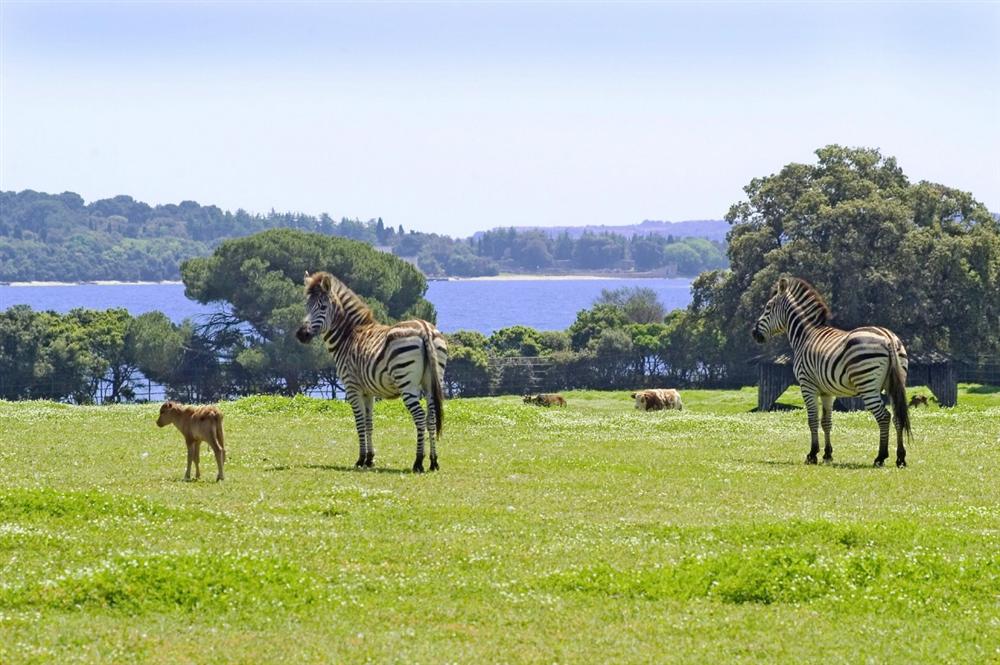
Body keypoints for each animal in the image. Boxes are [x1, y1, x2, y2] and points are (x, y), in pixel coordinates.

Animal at [294, 272, 448, 472]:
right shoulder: (369, 392)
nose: (301, 334)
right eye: (307, 306)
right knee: (431, 419)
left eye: (322, 307)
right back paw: (434, 462)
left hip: (406, 383)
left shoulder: (352, 387)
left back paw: (418, 462)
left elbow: (359, 423)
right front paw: (370, 458)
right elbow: (369, 423)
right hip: (431, 383)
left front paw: (360, 460)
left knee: (420, 418)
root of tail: (425, 328)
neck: (349, 335)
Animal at [752, 274, 912, 466]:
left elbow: (812, 420)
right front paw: (827, 454)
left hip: (867, 385)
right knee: (897, 418)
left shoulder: (807, 385)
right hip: (894, 384)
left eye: (768, 308)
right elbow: (826, 421)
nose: (754, 333)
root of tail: (888, 337)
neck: (805, 335)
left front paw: (812, 454)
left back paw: (880, 457)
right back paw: (900, 458)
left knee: (884, 417)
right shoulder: (827, 392)